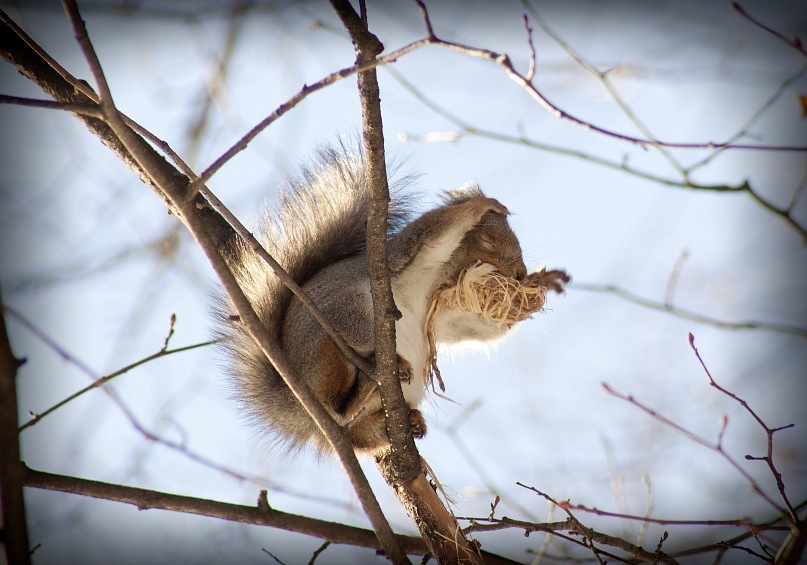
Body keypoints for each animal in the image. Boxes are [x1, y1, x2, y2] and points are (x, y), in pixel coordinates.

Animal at [215, 147, 568, 454]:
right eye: (487, 240)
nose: (520, 273)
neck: (437, 278)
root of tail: (297, 406)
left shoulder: (446, 313)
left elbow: (479, 328)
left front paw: (543, 281)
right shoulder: (405, 252)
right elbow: (437, 228)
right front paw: (478, 206)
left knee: (360, 434)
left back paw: (408, 420)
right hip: (340, 322)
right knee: (340, 402)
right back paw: (376, 376)